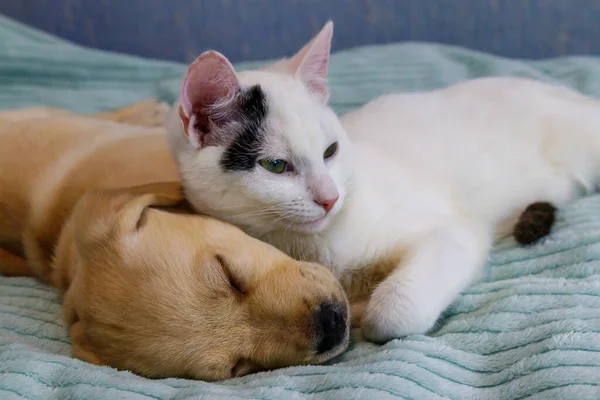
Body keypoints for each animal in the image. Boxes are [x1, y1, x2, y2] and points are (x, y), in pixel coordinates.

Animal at [166, 21, 600, 342]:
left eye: (330, 151)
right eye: (275, 165)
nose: (330, 198)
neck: (313, 245)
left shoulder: (456, 231)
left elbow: (393, 312)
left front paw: (366, 311)